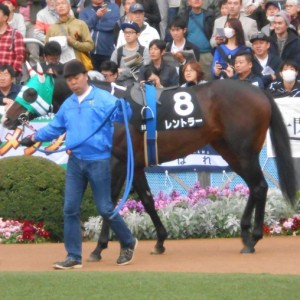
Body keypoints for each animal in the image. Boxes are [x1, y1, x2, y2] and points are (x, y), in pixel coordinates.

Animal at [0, 74, 296, 256]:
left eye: (30, 91)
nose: (8, 119)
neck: (111, 109)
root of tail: (259, 91)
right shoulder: (137, 164)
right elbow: (147, 199)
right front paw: (160, 240)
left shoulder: (117, 161)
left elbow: (109, 200)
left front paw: (100, 247)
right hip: (230, 151)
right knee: (255, 187)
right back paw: (246, 234)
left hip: (243, 152)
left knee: (259, 186)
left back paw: (253, 237)